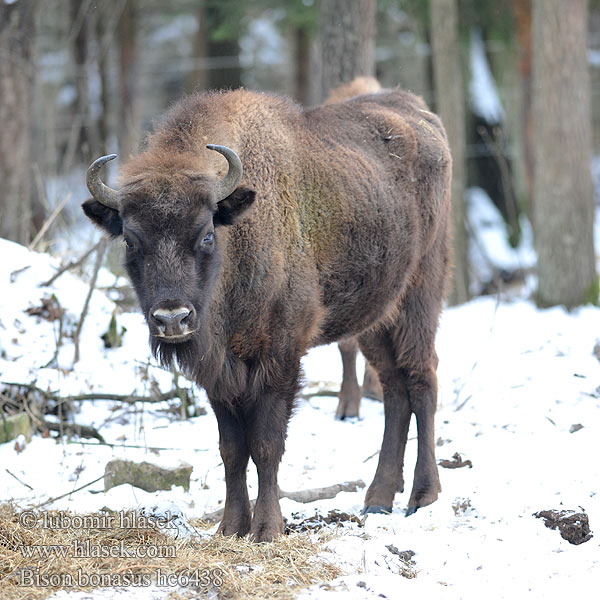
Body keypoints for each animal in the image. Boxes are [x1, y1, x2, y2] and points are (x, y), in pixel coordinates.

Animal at [83, 81, 450, 544]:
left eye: (206, 234)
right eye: (131, 240)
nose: (172, 318)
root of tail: (420, 113)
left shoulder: (280, 357)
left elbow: (266, 444)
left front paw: (268, 529)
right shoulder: (219, 373)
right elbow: (232, 450)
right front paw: (230, 527)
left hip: (420, 294)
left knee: (422, 380)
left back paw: (423, 496)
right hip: (376, 317)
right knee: (394, 389)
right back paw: (378, 498)